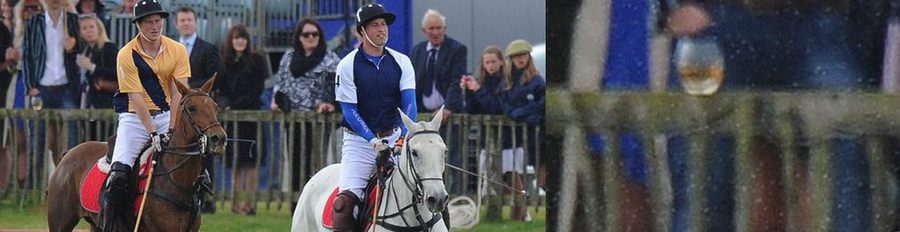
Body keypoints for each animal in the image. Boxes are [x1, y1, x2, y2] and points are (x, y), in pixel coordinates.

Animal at [47, 77, 227, 231]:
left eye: (215, 107)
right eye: (192, 108)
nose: (218, 138)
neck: (177, 183)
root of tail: (68, 153)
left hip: (95, 224)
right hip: (61, 223)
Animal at [294, 109, 450, 232]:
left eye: (444, 151)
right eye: (414, 152)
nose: (437, 199)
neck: (414, 220)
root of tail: (318, 174)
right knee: (342, 203)